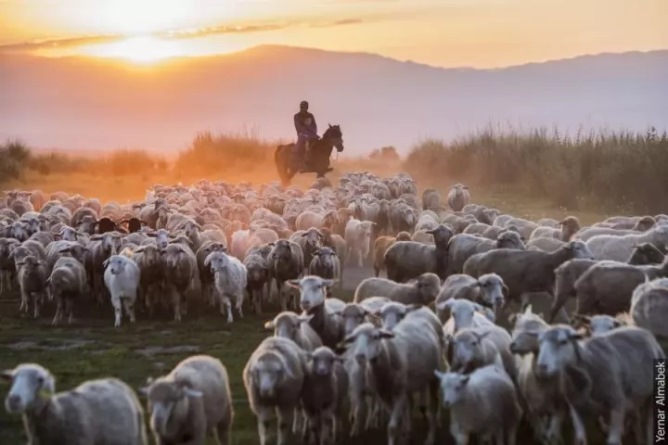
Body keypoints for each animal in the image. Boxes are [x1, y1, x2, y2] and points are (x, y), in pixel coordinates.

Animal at [462, 241, 592, 310]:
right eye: (577, 248)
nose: (592, 258)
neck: (551, 262)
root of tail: (475, 258)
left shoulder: (549, 288)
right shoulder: (525, 289)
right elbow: (525, 306)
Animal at [536, 322, 664, 444]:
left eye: (563, 341)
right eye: (540, 342)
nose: (542, 367)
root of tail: (641, 330)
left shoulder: (618, 403)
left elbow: (613, 441)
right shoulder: (576, 408)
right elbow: (580, 440)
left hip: (652, 394)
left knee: (649, 424)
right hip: (634, 398)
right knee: (636, 418)